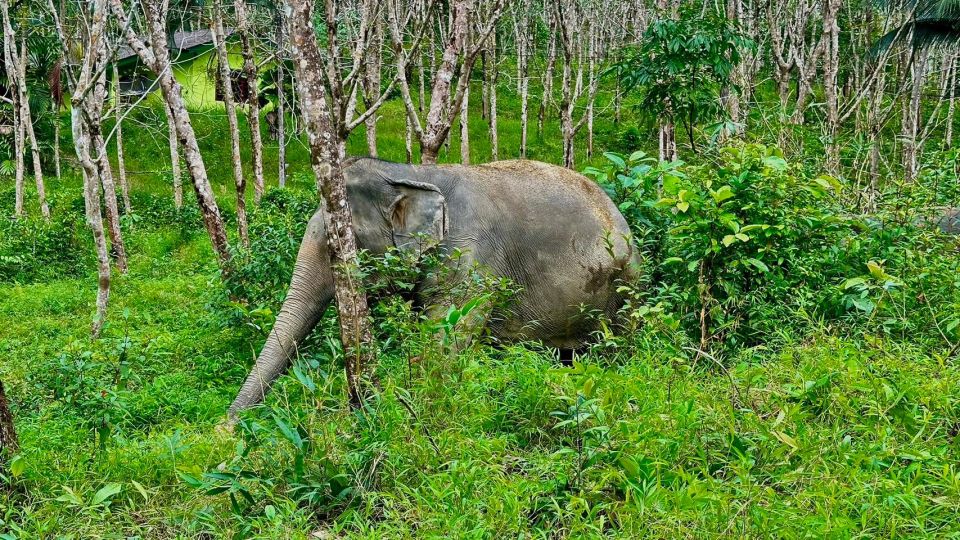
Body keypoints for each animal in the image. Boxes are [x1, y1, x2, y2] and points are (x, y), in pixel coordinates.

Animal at [229, 158, 640, 416]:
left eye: (337, 248)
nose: (226, 428)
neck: (412, 172)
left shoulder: (473, 261)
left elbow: (441, 349)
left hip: (624, 287)